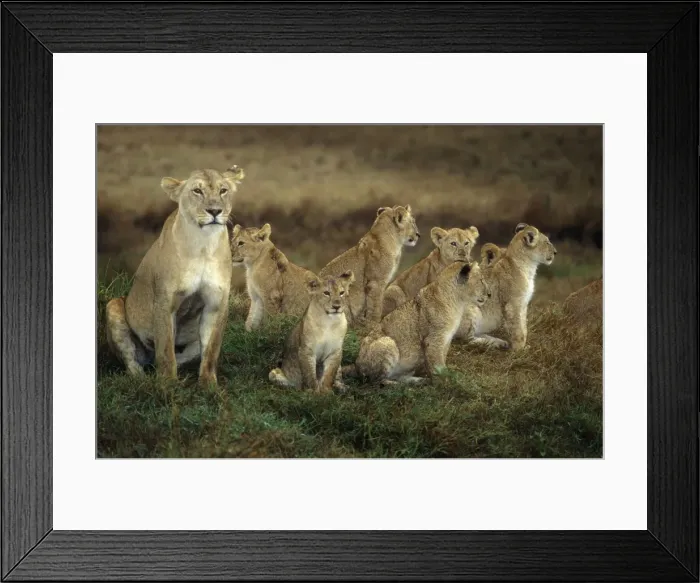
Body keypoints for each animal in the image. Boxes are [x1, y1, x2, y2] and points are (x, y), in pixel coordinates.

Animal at [105, 166, 245, 387]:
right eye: (197, 191)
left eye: (223, 190)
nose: (215, 211)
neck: (203, 245)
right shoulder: (165, 301)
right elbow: (165, 349)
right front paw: (167, 385)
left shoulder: (216, 303)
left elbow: (211, 350)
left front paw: (209, 386)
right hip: (113, 306)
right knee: (133, 362)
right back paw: (141, 381)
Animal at [343, 260, 490, 384]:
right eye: (481, 280)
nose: (489, 294)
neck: (458, 303)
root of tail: (356, 364)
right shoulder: (434, 339)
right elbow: (438, 363)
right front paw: (447, 381)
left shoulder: (446, 339)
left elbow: (441, 359)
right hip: (388, 342)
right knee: (376, 381)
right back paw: (396, 384)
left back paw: (417, 381)